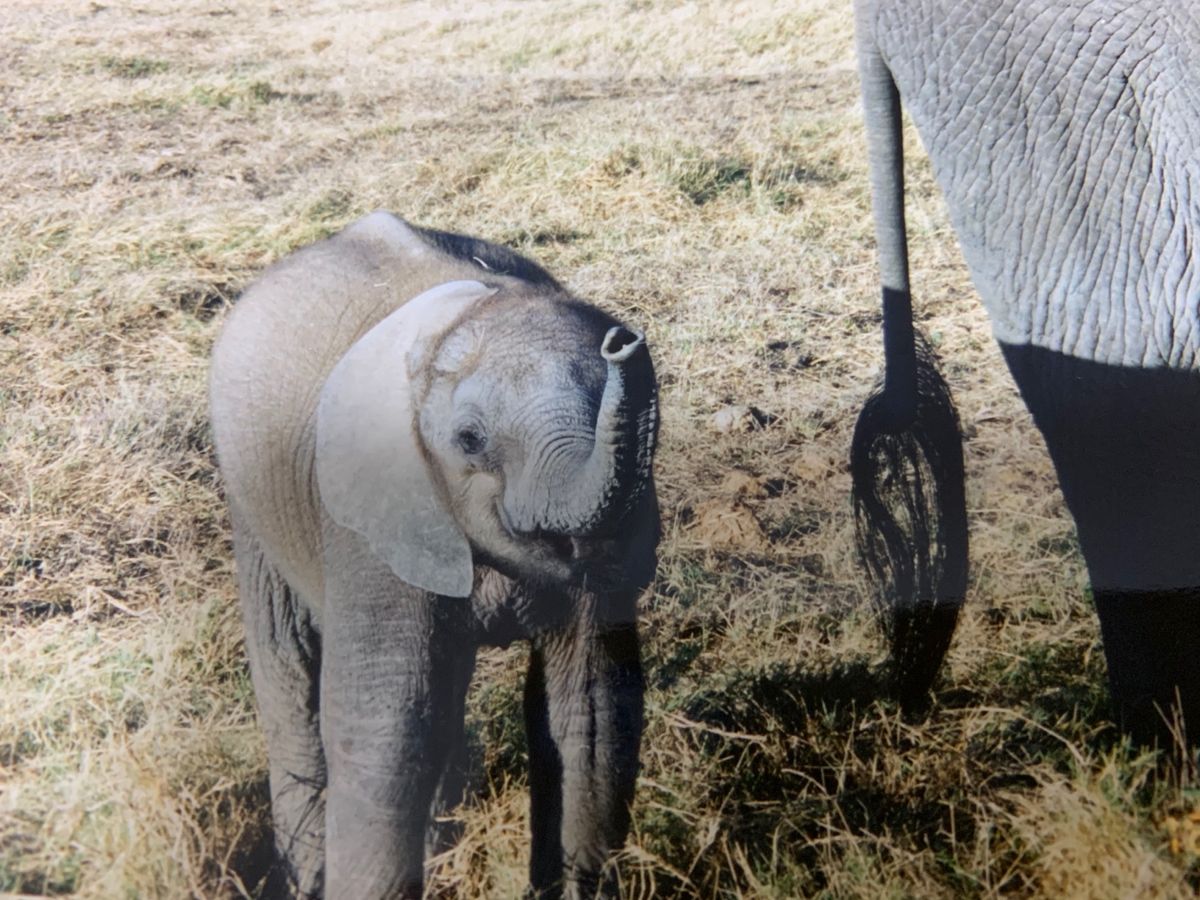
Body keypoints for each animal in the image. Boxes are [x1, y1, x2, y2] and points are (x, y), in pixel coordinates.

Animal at [208, 211, 659, 899]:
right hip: (253, 495)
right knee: (290, 663)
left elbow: (591, 707)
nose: (624, 344)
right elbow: (389, 726)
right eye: (469, 440)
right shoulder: (372, 512)